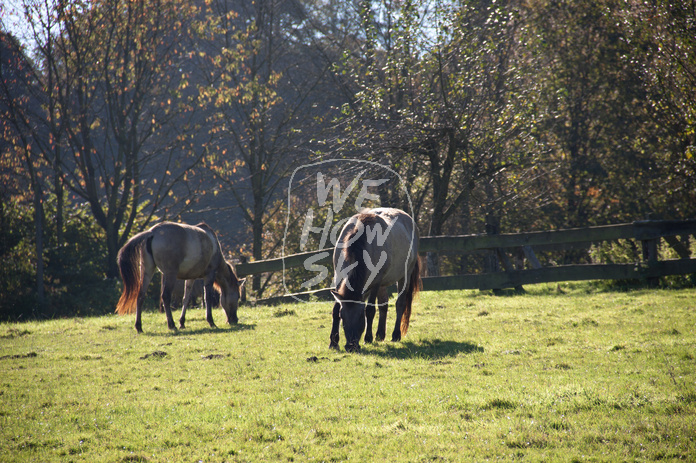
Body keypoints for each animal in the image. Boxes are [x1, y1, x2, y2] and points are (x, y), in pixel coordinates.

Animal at [115, 222, 245, 334]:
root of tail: (152, 232)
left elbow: (186, 298)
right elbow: (207, 298)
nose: (234, 320)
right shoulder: (210, 275)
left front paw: (182, 322)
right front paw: (211, 321)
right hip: (170, 274)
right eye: (238, 297)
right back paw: (171, 325)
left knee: (141, 295)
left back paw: (139, 327)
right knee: (165, 296)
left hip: (147, 271)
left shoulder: (191, 278)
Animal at [330, 208, 422, 352]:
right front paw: (333, 343)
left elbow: (370, 310)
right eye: (342, 315)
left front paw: (368, 338)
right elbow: (335, 309)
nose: (351, 347)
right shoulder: (338, 277)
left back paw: (395, 335)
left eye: (360, 316)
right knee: (384, 305)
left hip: (404, 276)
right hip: (383, 284)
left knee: (400, 304)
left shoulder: (375, 282)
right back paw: (380, 334)